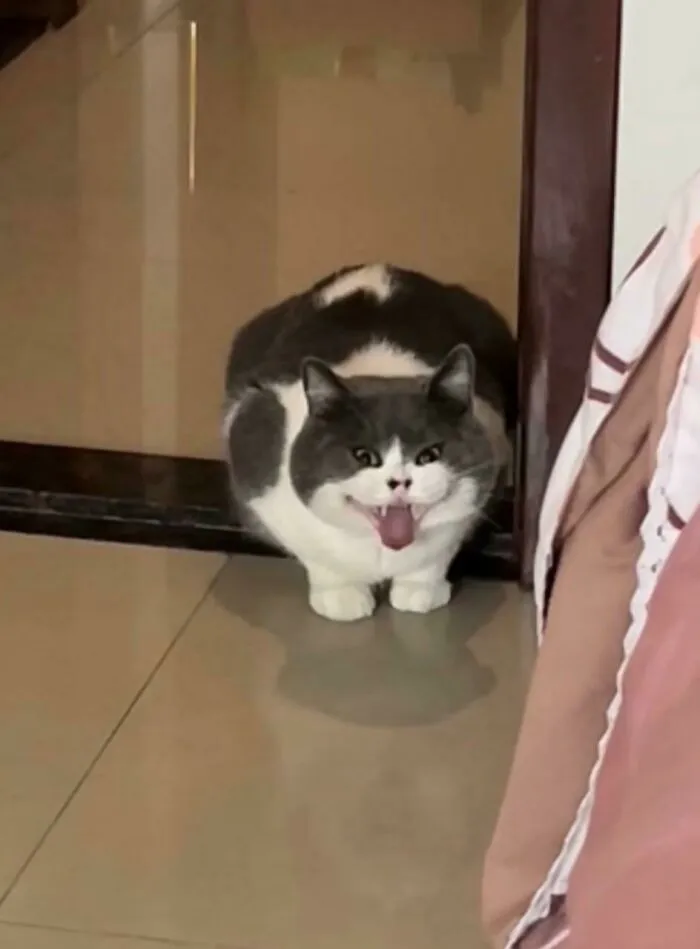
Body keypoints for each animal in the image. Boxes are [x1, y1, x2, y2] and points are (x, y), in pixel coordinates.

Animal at [223, 264, 516, 622]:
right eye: (362, 455)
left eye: (430, 453)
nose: (399, 481)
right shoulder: (255, 457)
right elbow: (317, 556)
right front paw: (342, 596)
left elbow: (438, 552)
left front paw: (420, 591)